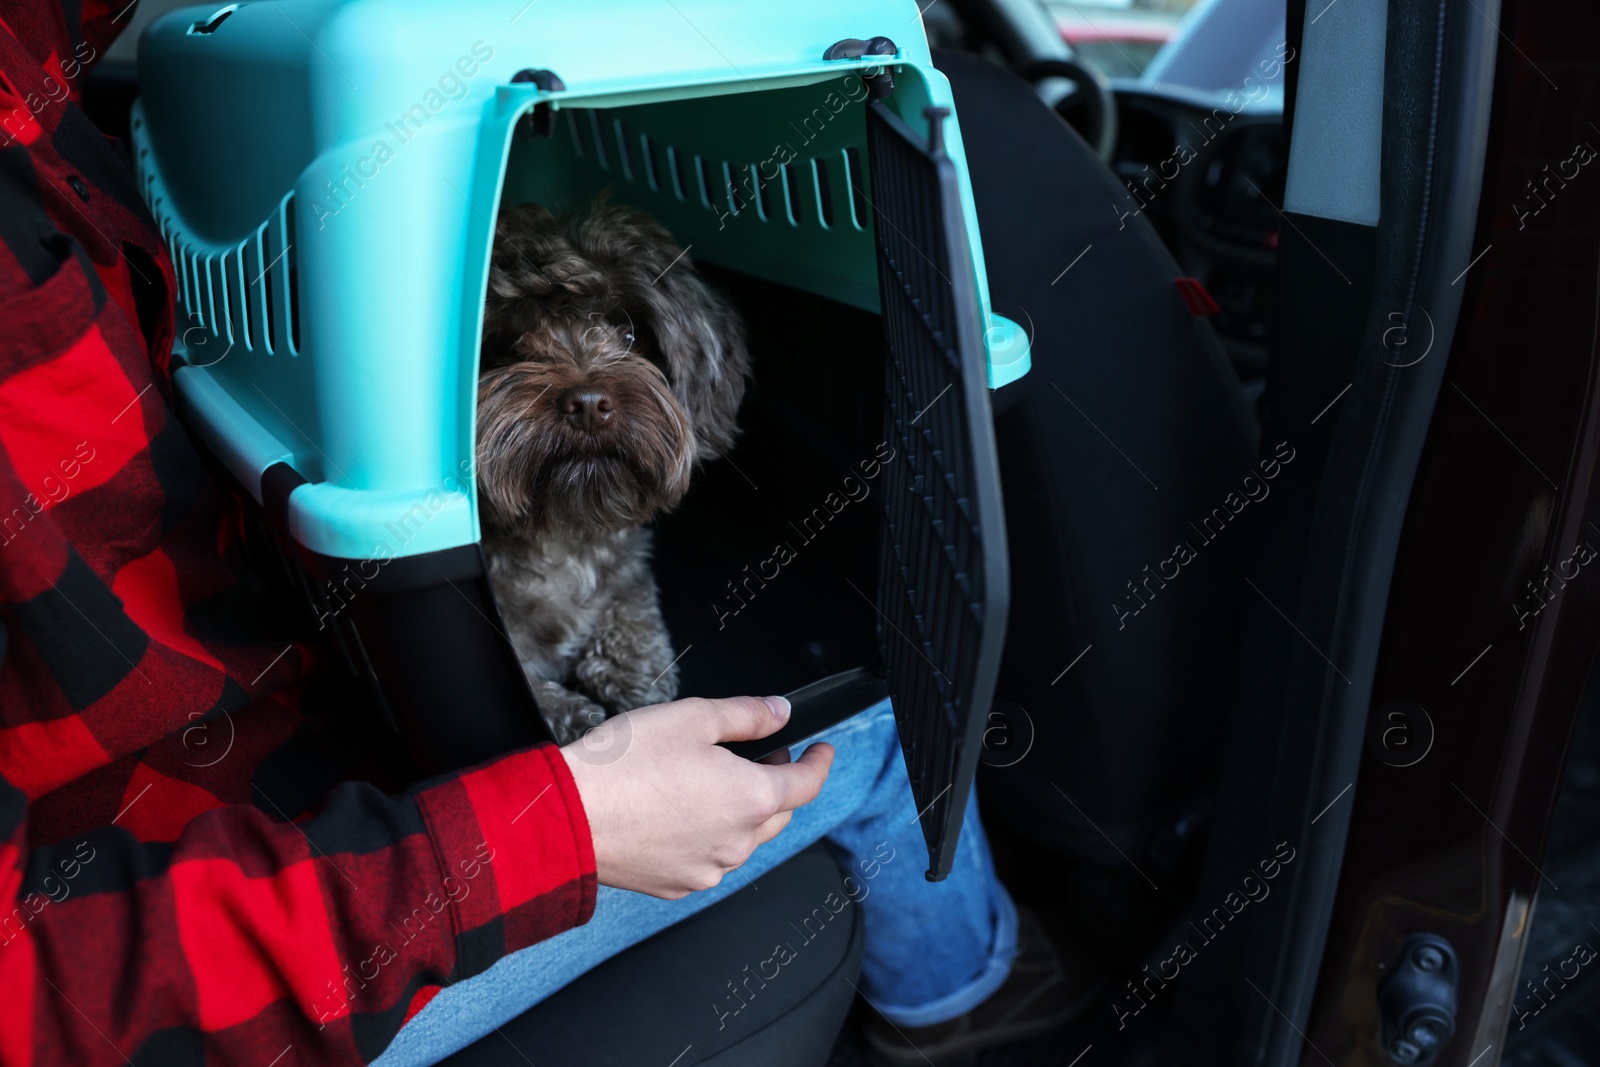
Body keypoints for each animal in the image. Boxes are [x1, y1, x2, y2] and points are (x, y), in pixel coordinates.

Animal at [473, 199, 748, 742]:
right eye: (506, 346)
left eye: (631, 333)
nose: (587, 404)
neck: (560, 532)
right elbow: (526, 687)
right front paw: (568, 714)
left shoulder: (629, 563)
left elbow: (631, 600)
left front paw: (637, 671)